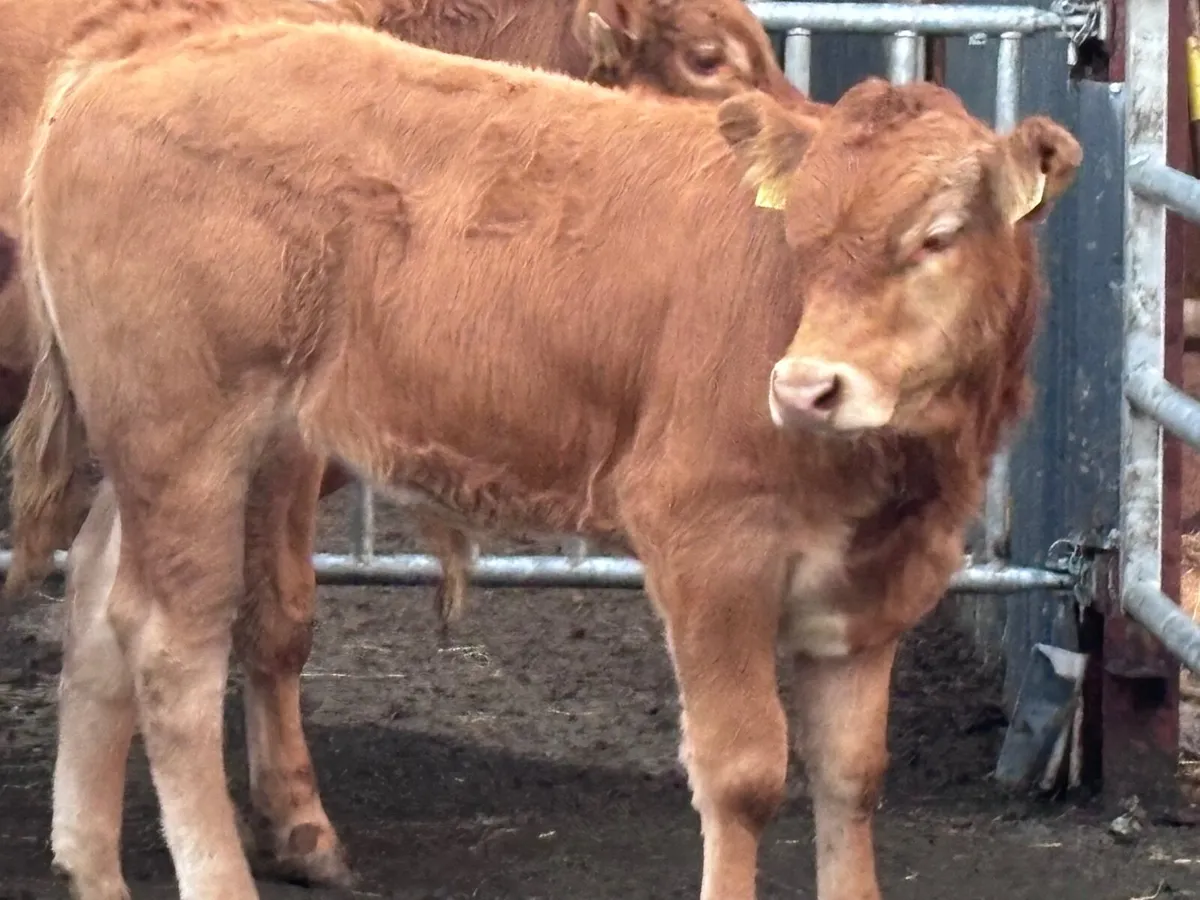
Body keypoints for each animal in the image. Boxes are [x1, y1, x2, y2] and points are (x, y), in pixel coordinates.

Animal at [6, 17, 1080, 900]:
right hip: (187, 434)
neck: (902, 479)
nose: (806, 387)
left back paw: (92, 866)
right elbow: (743, 775)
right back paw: (218, 875)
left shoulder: (874, 584)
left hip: (163, 444)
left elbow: (853, 781)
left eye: (938, 236)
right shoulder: (710, 543)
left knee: (100, 599)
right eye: (802, 242)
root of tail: (128, 63)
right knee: (171, 647)